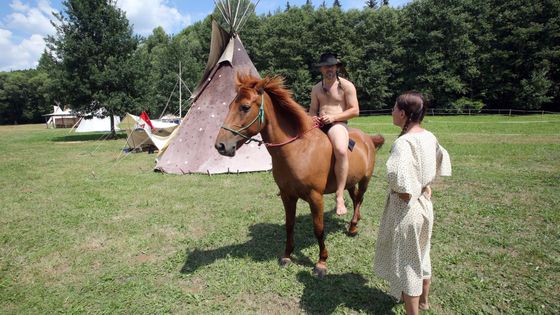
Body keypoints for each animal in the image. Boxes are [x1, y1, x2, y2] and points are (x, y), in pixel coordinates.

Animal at [215, 74, 384, 276]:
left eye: (245, 107)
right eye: (229, 106)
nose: (221, 146)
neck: (298, 149)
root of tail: (368, 139)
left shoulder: (315, 197)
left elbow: (318, 229)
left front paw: (321, 262)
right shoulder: (287, 196)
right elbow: (289, 225)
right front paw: (287, 255)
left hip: (365, 180)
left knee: (360, 199)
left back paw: (352, 227)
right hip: (351, 182)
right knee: (355, 197)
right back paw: (353, 224)